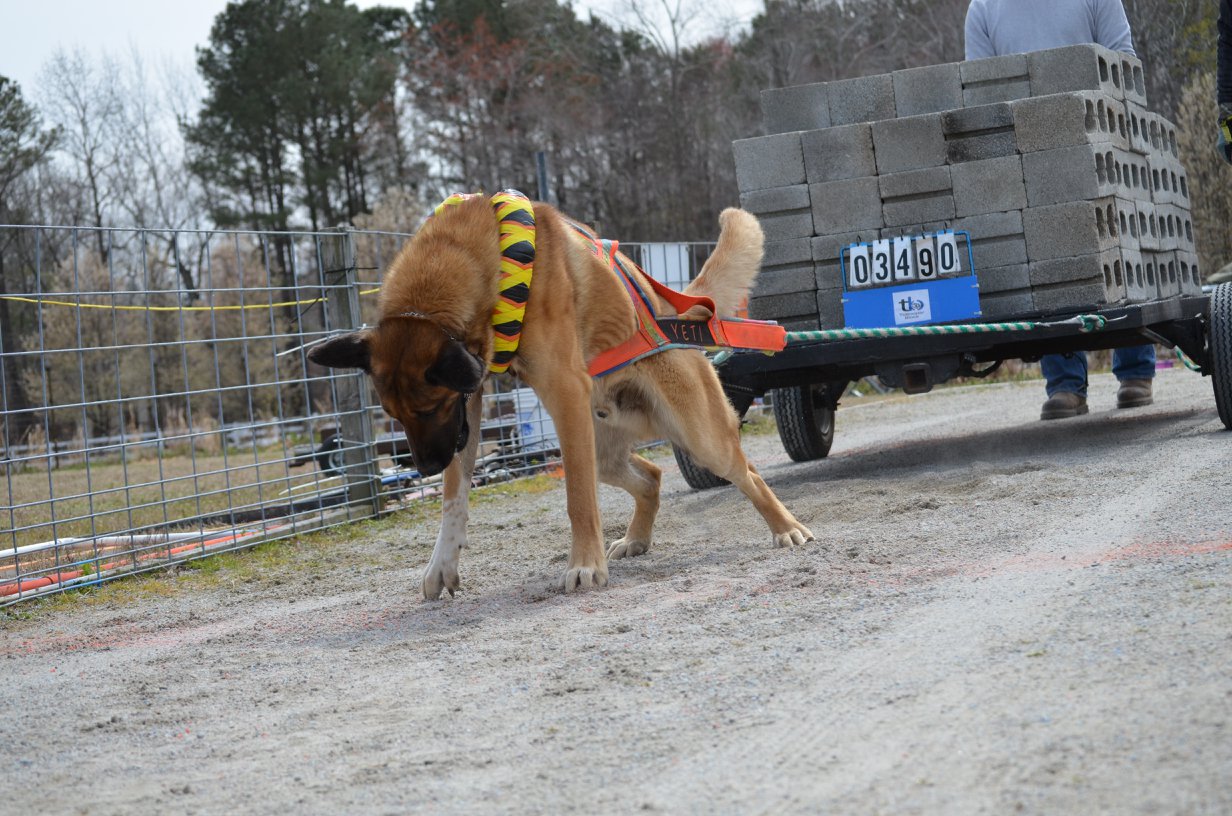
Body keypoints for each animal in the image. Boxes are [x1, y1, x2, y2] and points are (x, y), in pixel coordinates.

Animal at [308, 194, 813, 599]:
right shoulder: (469, 404)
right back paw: (637, 538)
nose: (427, 467)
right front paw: (442, 564)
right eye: (393, 414)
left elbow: (578, 500)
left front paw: (585, 565)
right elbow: (454, 498)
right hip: (601, 448)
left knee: (746, 472)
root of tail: (676, 312)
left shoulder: (558, 392)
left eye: (429, 407)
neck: (487, 257)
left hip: (695, 438)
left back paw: (787, 528)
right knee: (650, 477)